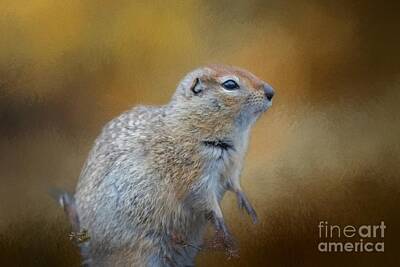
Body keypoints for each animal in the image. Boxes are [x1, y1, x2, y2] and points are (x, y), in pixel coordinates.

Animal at [70, 64, 274, 266]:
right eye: (230, 84)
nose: (271, 92)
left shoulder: (233, 166)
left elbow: (235, 185)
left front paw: (249, 209)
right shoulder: (193, 175)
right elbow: (206, 201)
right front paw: (224, 228)